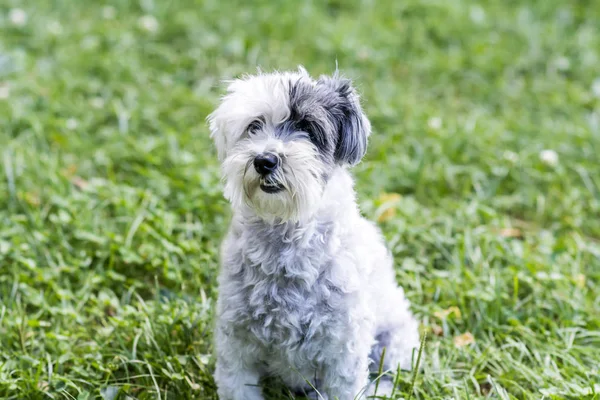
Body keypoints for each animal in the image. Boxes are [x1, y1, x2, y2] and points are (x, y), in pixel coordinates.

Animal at [209, 67, 420, 398]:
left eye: (308, 127)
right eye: (254, 126)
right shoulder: (237, 342)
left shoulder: (343, 351)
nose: (264, 160)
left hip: (396, 342)